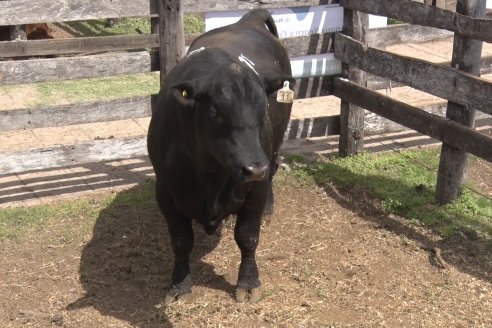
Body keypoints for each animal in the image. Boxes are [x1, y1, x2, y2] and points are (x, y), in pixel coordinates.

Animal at [148, 9, 294, 304]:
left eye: (263, 109)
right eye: (215, 112)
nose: (254, 168)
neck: (210, 174)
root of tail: (248, 19)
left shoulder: (255, 191)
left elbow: (248, 237)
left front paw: (248, 283)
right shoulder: (165, 192)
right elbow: (181, 242)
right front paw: (179, 285)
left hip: (274, 149)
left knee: (273, 169)